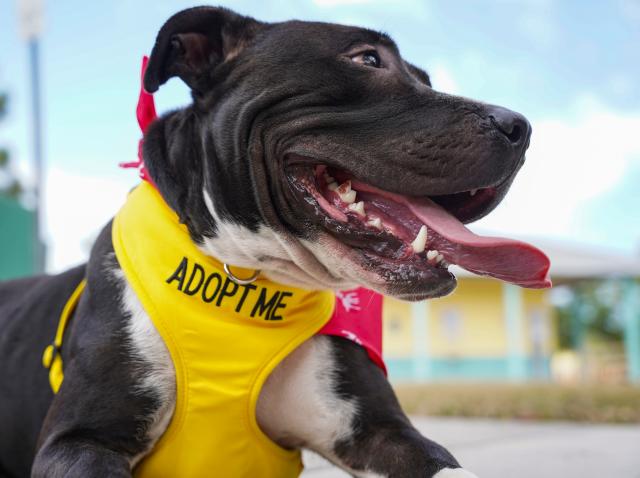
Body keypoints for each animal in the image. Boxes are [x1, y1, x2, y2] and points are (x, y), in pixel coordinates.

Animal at [0, 4, 552, 478]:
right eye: (368, 59)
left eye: (427, 80)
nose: (520, 126)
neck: (248, 277)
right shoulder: (81, 440)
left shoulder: (379, 430)